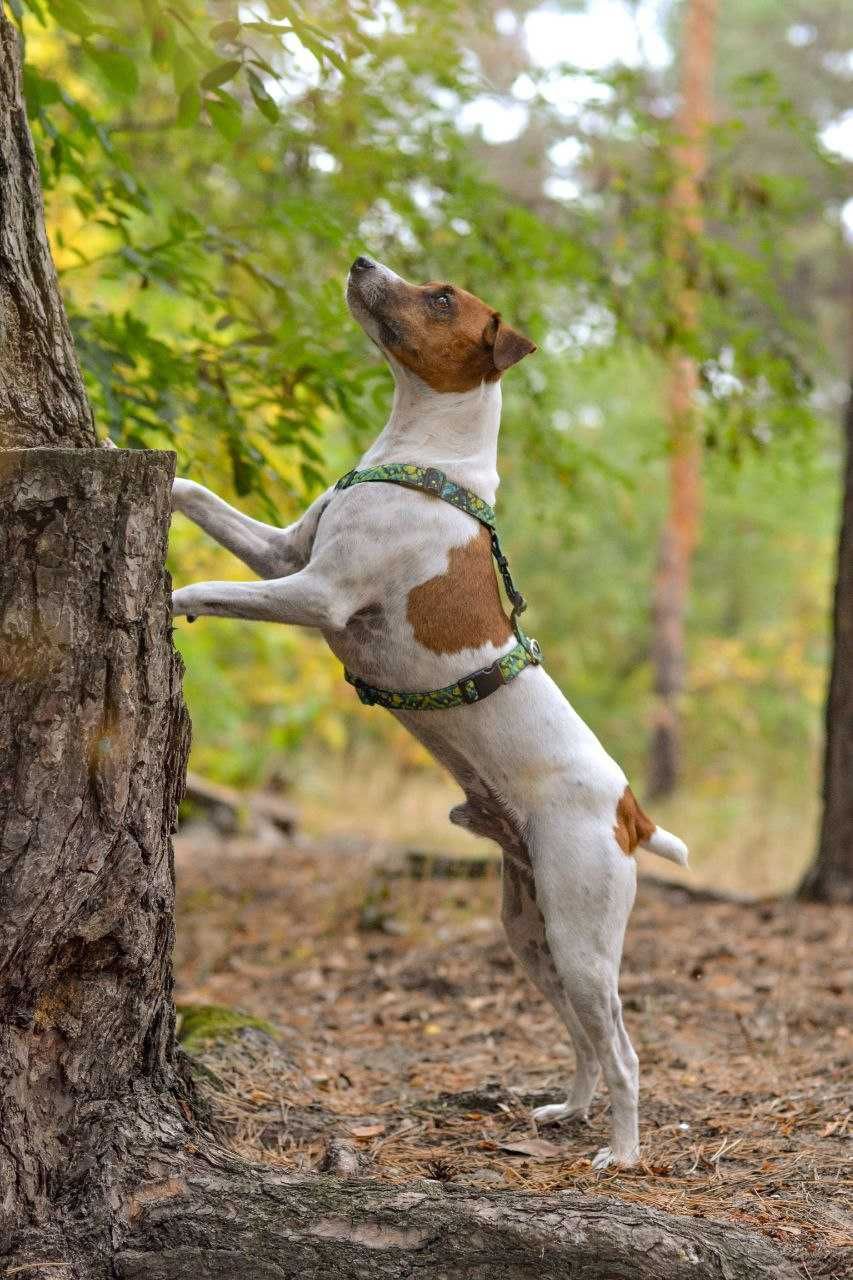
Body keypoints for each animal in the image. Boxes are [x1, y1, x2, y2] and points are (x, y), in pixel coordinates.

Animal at [169, 252, 686, 1172]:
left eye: (441, 298)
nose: (362, 259)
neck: (419, 456)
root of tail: (630, 808)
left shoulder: (317, 594)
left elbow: (207, 587)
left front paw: (164, 600)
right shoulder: (283, 552)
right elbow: (196, 494)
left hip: (583, 936)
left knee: (623, 1049)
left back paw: (621, 1152)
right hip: (531, 934)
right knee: (585, 1041)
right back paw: (569, 1111)